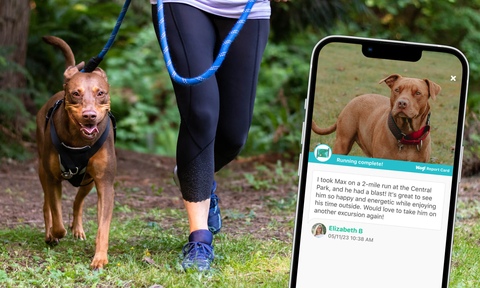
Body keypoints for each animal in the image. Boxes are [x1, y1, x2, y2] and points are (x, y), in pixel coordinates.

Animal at [35, 36, 116, 270]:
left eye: (100, 93)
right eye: (75, 93)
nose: (89, 115)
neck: (80, 142)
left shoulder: (105, 183)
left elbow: (103, 226)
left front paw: (100, 258)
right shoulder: (53, 178)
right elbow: (56, 215)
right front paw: (55, 233)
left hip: (88, 180)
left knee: (77, 202)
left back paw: (77, 228)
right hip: (42, 170)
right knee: (47, 205)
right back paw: (50, 234)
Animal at [312, 74, 442, 162]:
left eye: (418, 93)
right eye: (397, 90)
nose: (401, 103)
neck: (406, 135)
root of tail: (355, 98)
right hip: (342, 143)